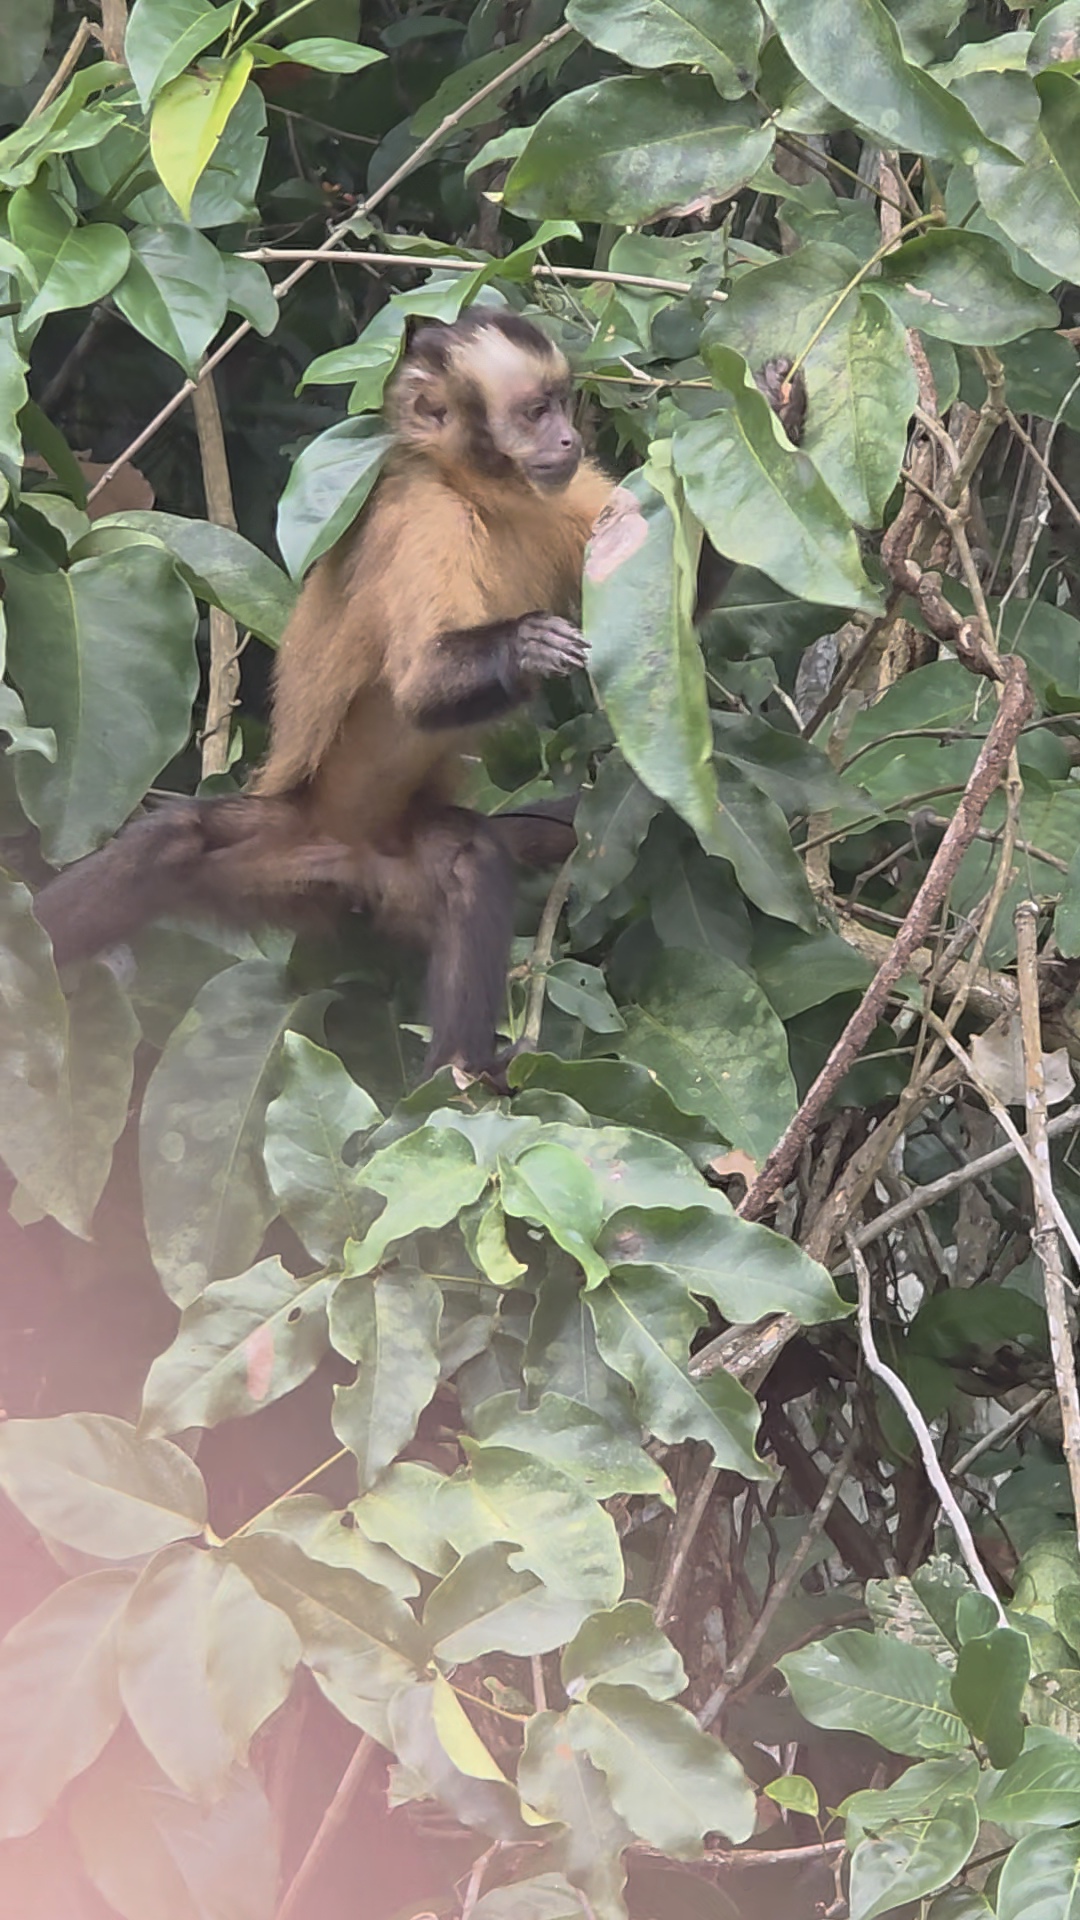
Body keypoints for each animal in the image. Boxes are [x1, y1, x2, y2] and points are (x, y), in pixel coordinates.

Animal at [33, 310, 614, 1077]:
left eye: (559, 404)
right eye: (534, 411)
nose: (570, 438)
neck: (479, 494)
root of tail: (352, 848)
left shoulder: (555, 496)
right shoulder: (424, 519)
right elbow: (422, 686)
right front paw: (526, 647)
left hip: (396, 862)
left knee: (470, 860)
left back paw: (459, 1071)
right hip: (283, 847)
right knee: (174, 844)